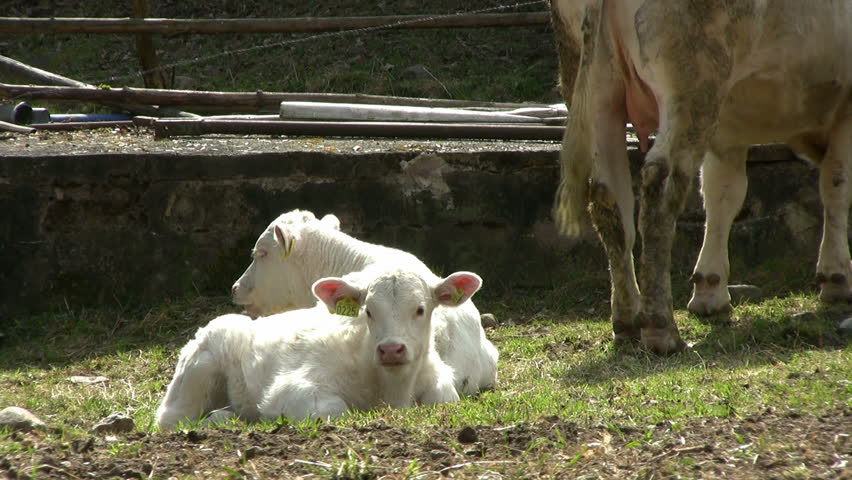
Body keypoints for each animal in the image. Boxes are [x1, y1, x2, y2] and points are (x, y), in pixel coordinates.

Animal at [155, 265, 480, 430]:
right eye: (368, 311)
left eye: (420, 309)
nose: (390, 350)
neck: (392, 389)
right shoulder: (293, 388)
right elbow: (336, 410)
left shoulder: (441, 388)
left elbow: (442, 399)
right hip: (198, 372)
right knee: (172, 418)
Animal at [550, 0, 852, 353]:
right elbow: (836, 184)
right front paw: (837, 278)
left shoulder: (729, 132)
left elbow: (723, 194)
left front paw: (710, 291)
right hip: (693, 84)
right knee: (660, 187)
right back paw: (661, 329)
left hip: (597, 92)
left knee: (609, 200)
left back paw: (627, 320)